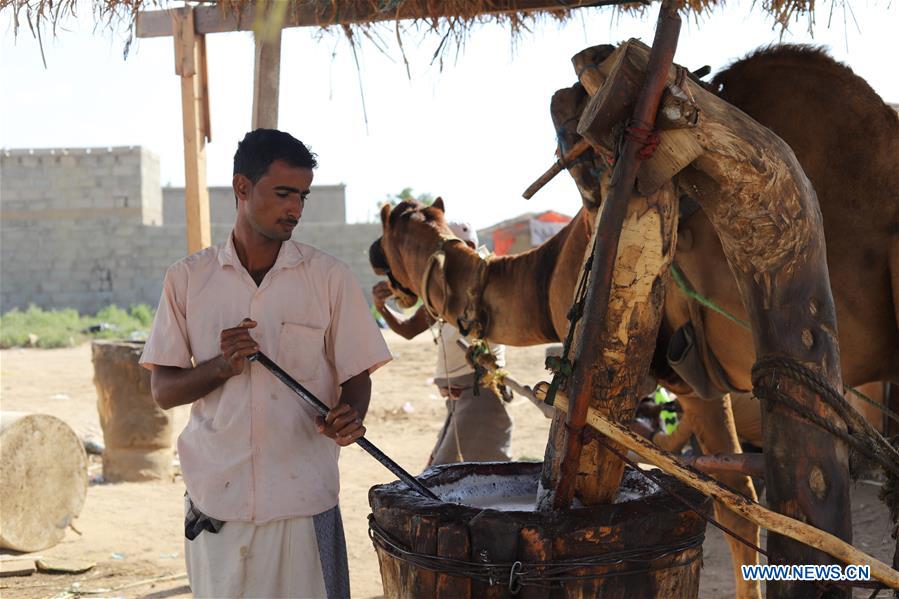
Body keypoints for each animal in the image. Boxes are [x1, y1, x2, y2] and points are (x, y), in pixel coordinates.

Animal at [368, 44, 899, 596]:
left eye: (391, 227)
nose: (372, 256)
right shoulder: (703, 386)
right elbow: (739, 500)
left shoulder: (661, 374)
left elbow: (731, 503)